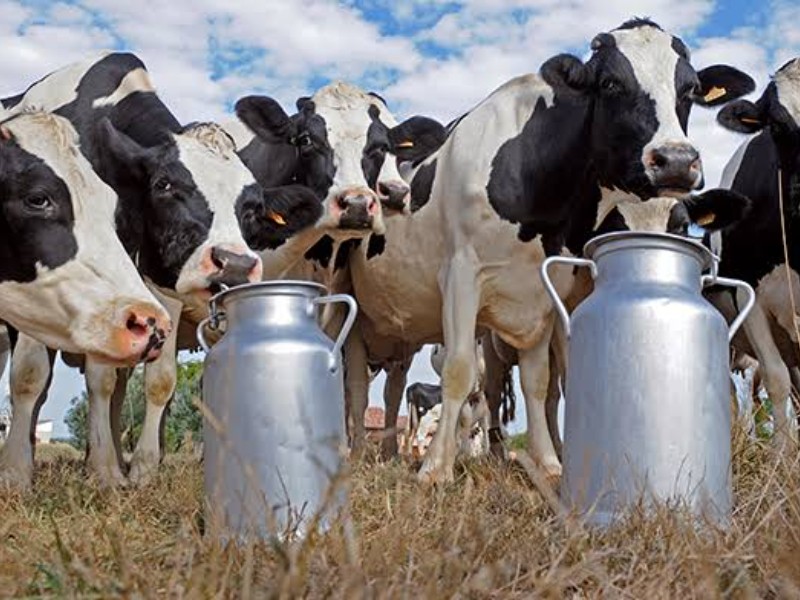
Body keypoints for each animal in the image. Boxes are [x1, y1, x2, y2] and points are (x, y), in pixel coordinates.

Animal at [346, 18, 756, 486]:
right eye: (610, 83)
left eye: (689, 89)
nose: (675, 161)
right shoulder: (461, 276)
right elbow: (459, 370)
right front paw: (435, 468)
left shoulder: (543, 293)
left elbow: (539, 382)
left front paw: (547, 462)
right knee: (357, 388)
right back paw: (359, 455)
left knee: (393, 388)